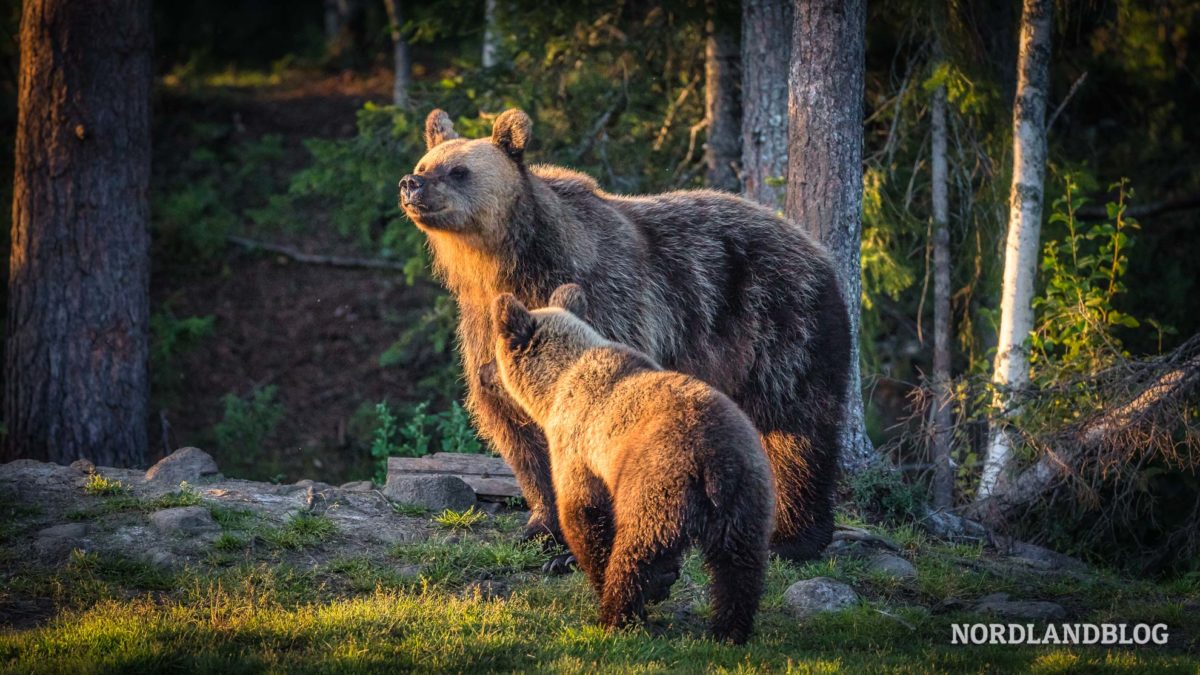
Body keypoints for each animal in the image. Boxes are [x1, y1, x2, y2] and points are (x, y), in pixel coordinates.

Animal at [398, 107, 849, 559]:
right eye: (424, 164)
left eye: (458, 170)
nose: (411, 184)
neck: (506, 267)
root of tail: (813, 245)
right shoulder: (484, 329)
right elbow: (519, 432)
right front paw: (542, 528)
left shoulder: (610, 303)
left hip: (779, 323)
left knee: (798, 426)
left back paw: (794, 537)